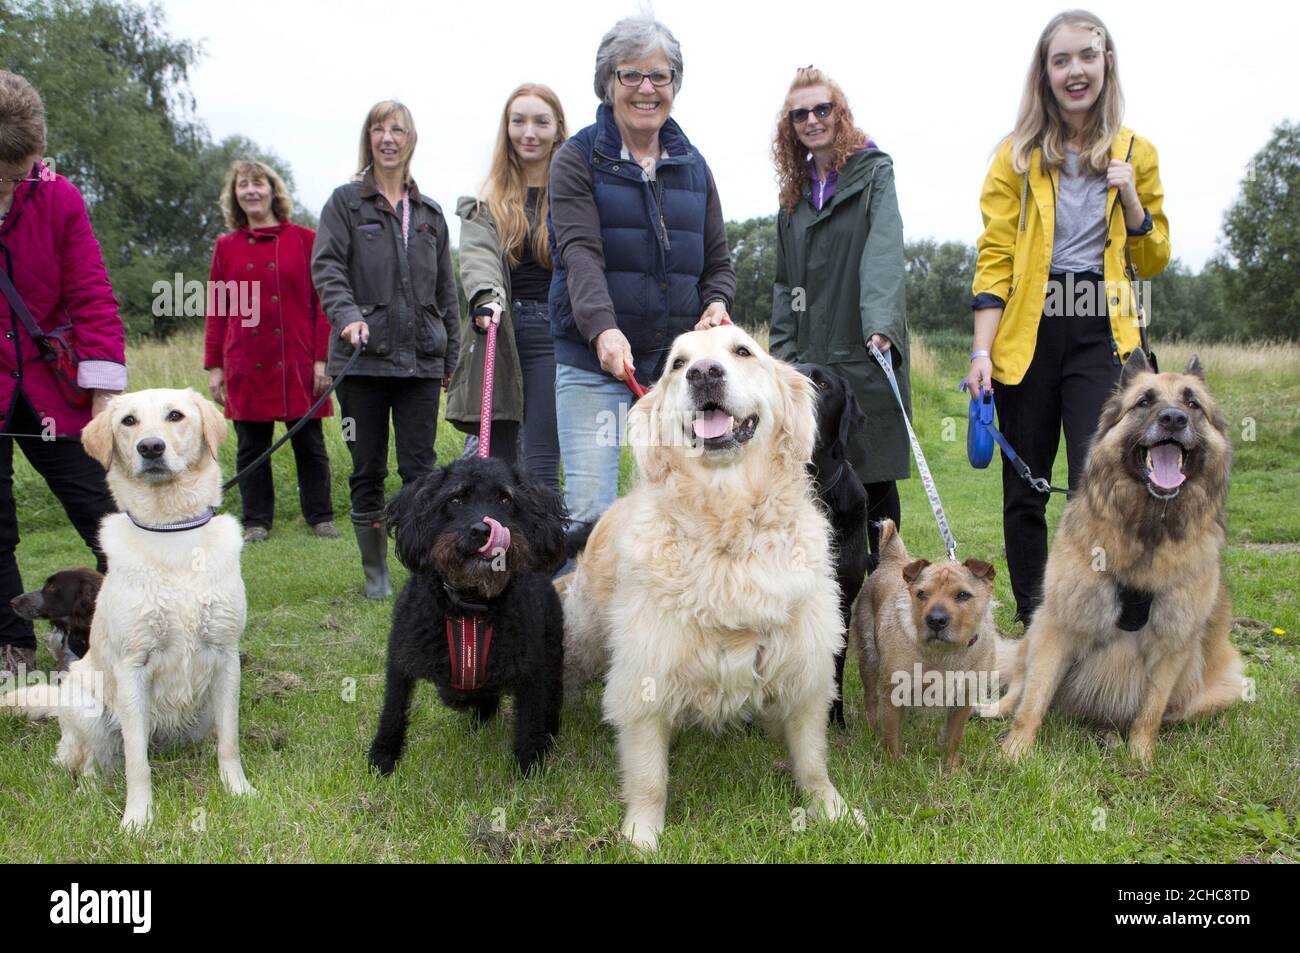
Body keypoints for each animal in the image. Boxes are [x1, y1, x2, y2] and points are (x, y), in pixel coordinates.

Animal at [369, 452, 566, 774]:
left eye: (505, 499)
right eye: (456, 499)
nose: (483, 530)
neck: (469, 605)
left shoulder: (531, 668)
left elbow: (530, 718)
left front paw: (528, 766)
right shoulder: (401, 656)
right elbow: (393, 707)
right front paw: (383, 757)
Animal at [847, 520, 998, 774]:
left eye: (963, 595)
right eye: (921, 594)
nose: (936, 620)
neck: (945, 654)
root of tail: (892, 560)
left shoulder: (964, 698)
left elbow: (954, 738)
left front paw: (951, 768)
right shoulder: (893, 692)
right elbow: (891, 738)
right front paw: (894, 768)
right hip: (869, 659)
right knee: (870, 699)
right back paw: (871, 727)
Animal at [987, 351, 1242, 764]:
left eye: (1193, 404)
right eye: (1144, 401)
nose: (1174, 419)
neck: (1145, 530)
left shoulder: (1173, 644)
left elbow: (1149, 712)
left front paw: (1140, 757)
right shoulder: (1058, 625)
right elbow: (1033, 700)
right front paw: (1015, 752)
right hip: (1037, 626)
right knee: (1019, 685)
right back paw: (993, 709)